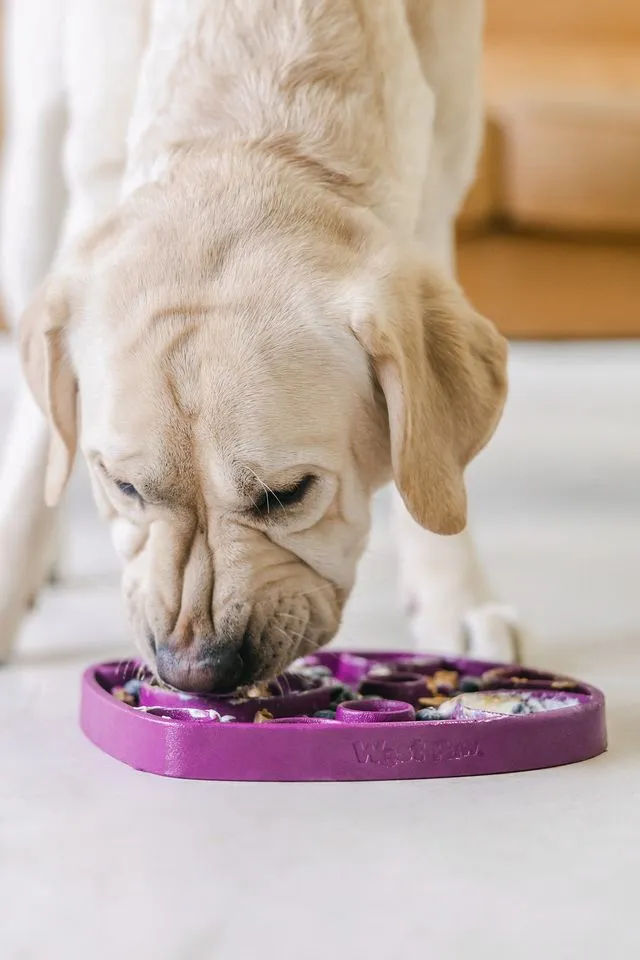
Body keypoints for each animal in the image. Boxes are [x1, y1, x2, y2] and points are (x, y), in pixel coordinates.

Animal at [0, 0, 520, 688]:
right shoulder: (96, 181)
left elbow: (428, 470)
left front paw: (454, 599)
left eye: (289, 494)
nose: (194, 672)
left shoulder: (436, 186)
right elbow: (37, 450)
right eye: (125, 488)